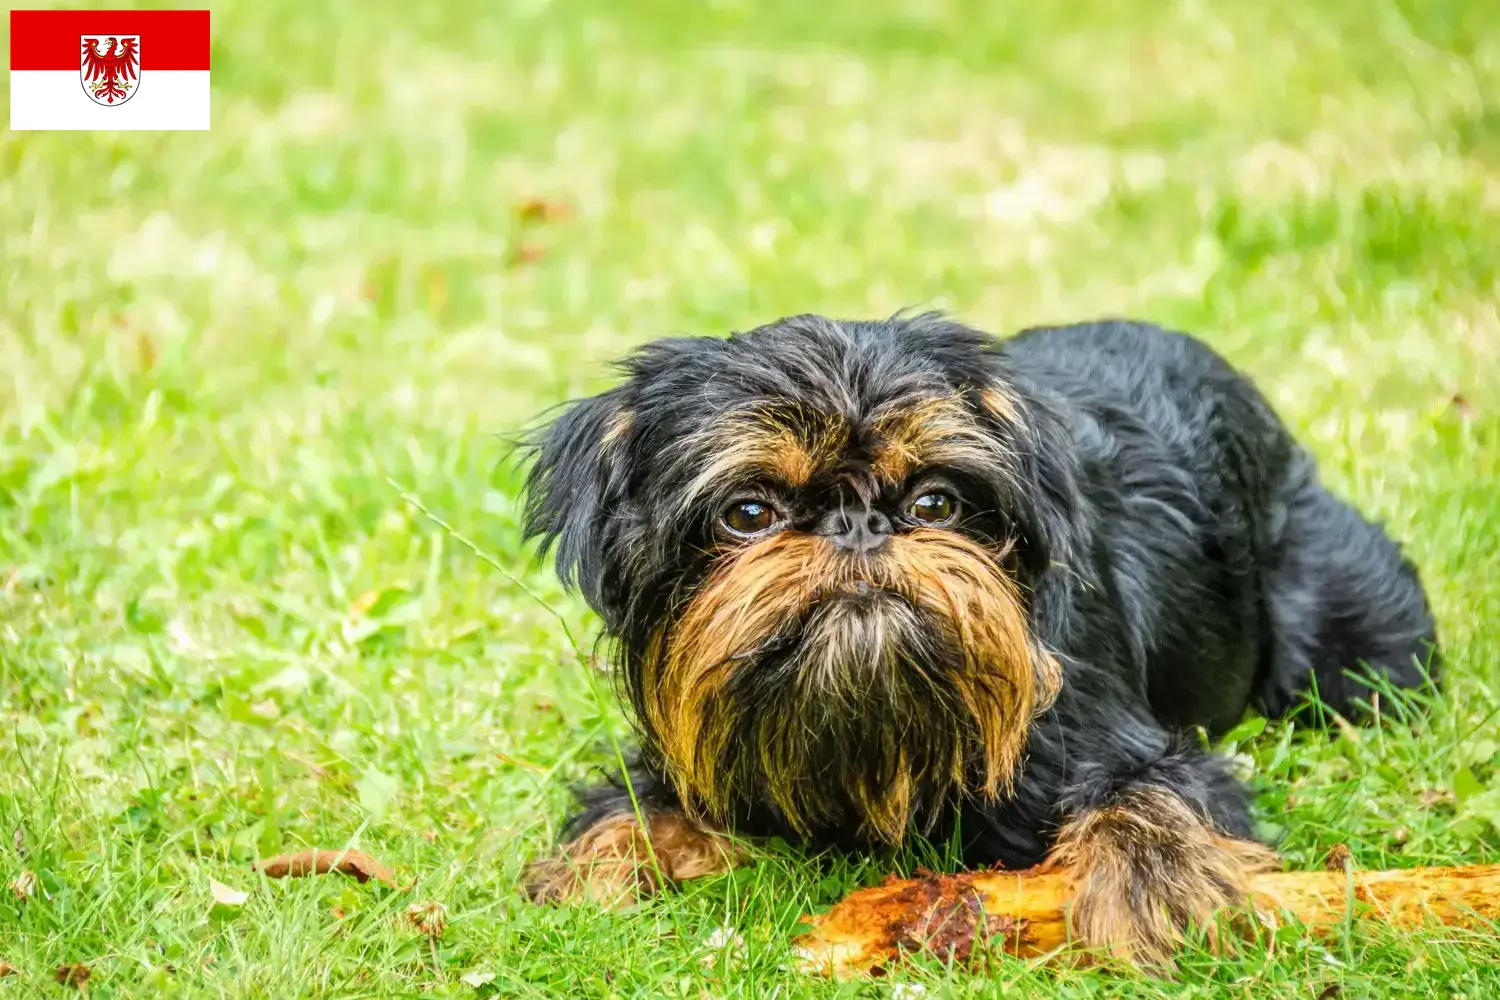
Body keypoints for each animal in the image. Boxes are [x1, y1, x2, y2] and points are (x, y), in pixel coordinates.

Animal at [519, 314, 1440, 959]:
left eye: (936, 503)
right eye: (748, 514)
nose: (859, 526)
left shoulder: (1136, 745)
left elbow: (1153, 795)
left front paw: (1156, 890)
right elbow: (623, 807)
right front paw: (589, 877)